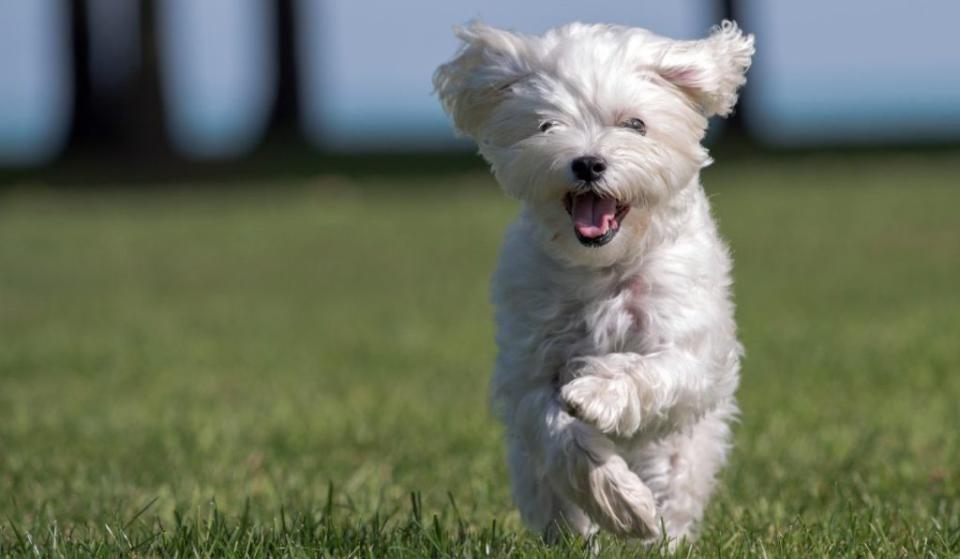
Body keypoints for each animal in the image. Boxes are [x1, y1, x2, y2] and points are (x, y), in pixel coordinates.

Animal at [432, 19, 752, 544]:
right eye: (547, 126)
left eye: (635, 124)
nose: (587, 162)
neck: (603, 267)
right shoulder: (529, 369)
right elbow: (560, 433)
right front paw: (622, 504)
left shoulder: (689, 349)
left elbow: (651, 369)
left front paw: (595, 394)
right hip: (531, 470)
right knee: (552, 495)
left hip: (686, 450)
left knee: (675, 486)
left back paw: (664, 537)